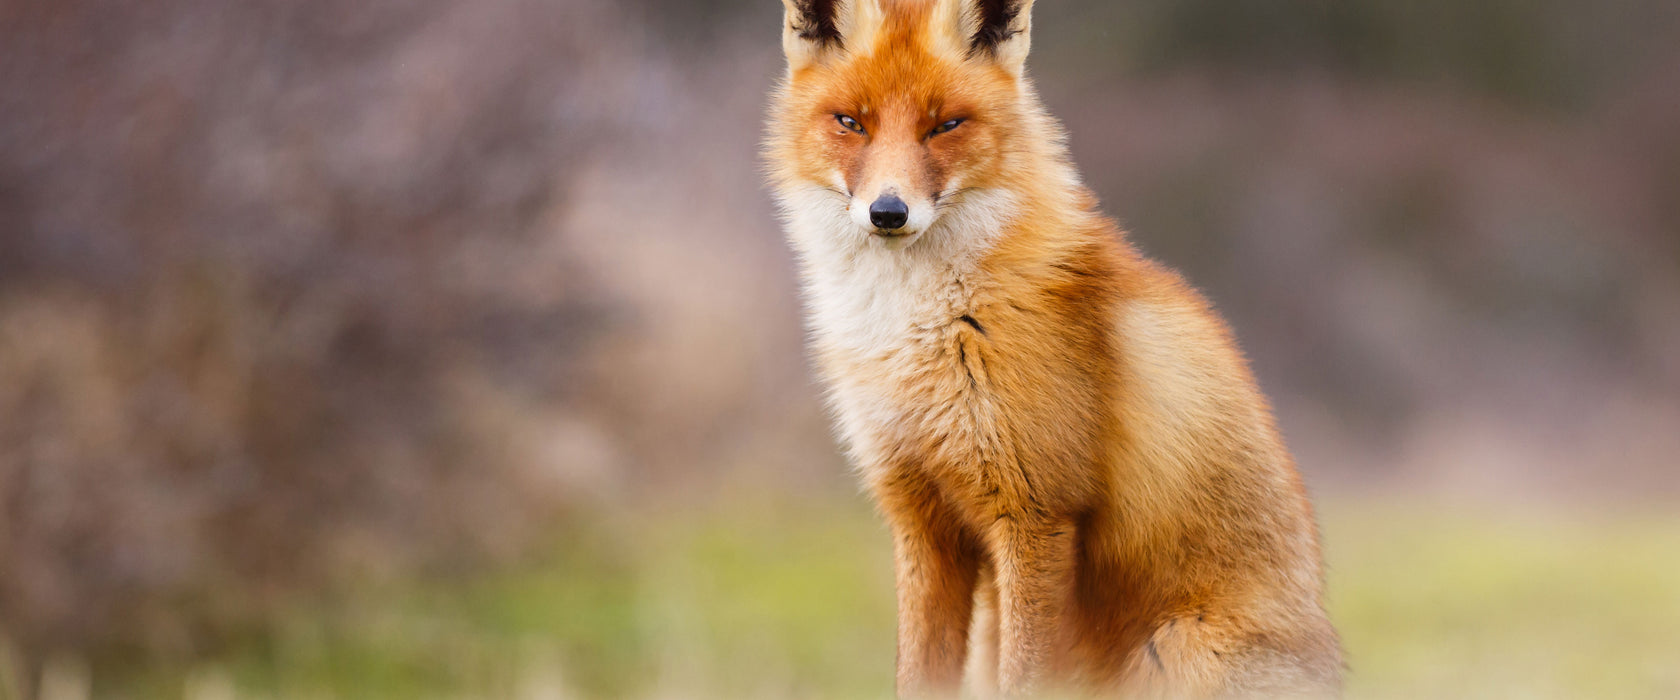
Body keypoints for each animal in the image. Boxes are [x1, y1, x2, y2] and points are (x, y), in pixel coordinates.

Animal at [769, 0, 1344, 694]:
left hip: (1176, 649)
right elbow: (918, 673)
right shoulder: (920, 517)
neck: (922, 329)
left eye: (945, 125)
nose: (888, 212)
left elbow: (1025, 677)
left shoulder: (1037, 514)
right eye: (851, 123)